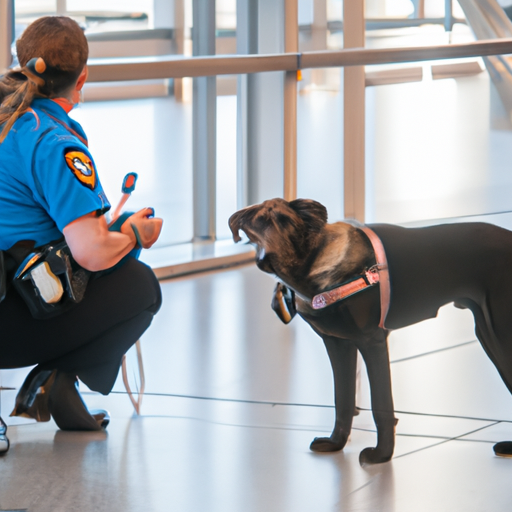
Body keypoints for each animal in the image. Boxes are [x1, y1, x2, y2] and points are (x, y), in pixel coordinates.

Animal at [229, 198, 512, 466]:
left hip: (499, 334)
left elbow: (381, 405)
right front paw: (336, 443)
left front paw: (382, 455)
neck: (314, 258)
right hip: (488, 332)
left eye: (284, 220)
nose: (266, 253)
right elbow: (342, 400)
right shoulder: (338, 343)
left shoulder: (371, 341)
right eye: (257, 220)